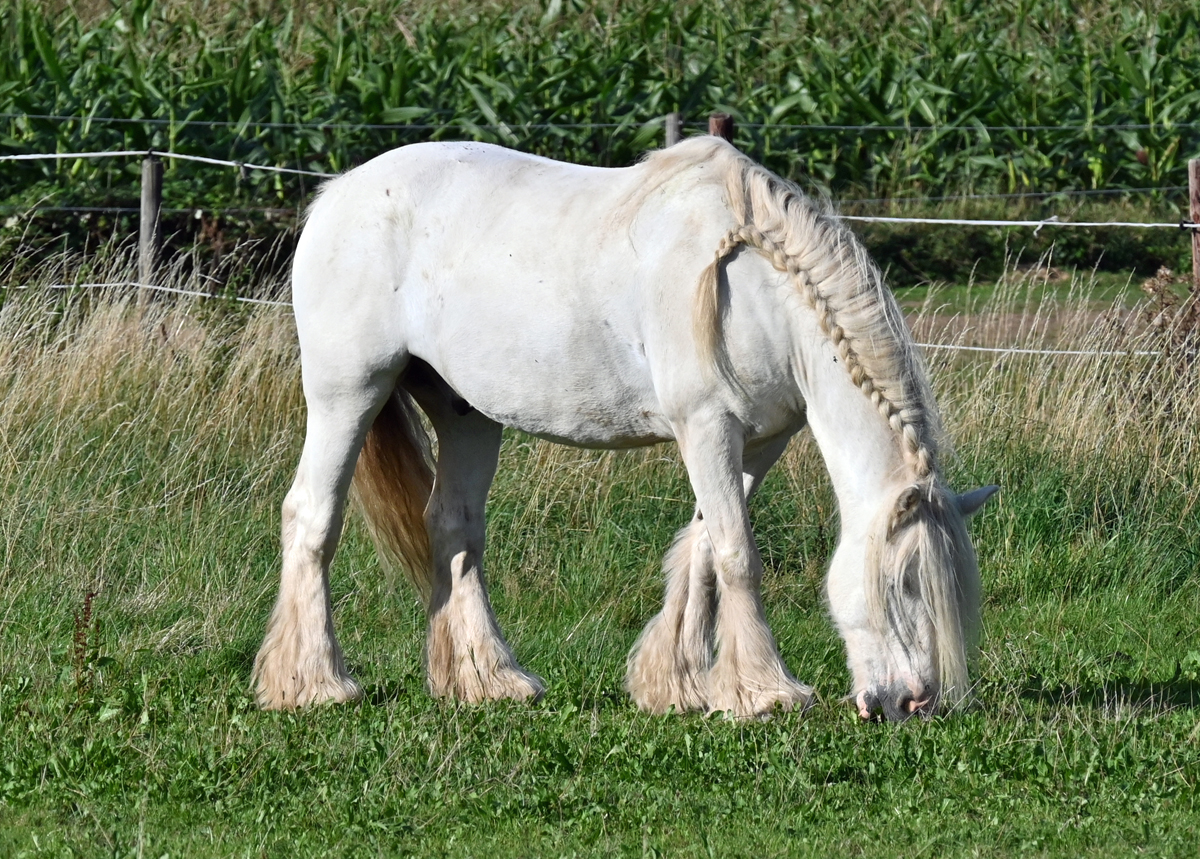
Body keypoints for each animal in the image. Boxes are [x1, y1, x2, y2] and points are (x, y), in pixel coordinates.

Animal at [250, 137, 993, 719]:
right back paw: (312, 684)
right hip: (347, 393)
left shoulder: (758, 440)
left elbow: (703, 546)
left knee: (454, 528)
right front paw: (763, 693)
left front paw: (678, 685)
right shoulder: (706, 426)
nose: (914, 701)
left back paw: (488, 680)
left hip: (467, 416)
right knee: (312, 516)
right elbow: (736, 553)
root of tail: (335, 196)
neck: (753, 281)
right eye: (903, 583)